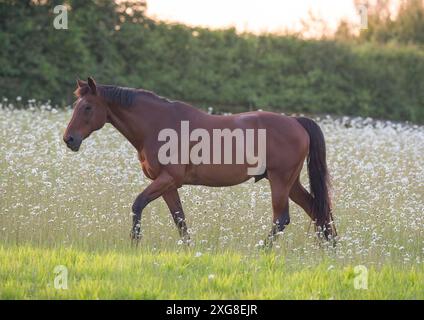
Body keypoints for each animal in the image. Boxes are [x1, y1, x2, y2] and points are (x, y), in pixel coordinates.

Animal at [63, 78, 336, 248]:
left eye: (87, 107)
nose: (69, 139)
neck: (157, 125)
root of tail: (296, 122)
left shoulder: (167, 179)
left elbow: (138, 204)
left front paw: (135, 242)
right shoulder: (168, 185)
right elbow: (180, 220)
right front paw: (188, 250)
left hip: (280, 182)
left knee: (282, 219)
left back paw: (261, 250)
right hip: (290, 183)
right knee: (317, 210)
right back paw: (330, 251)